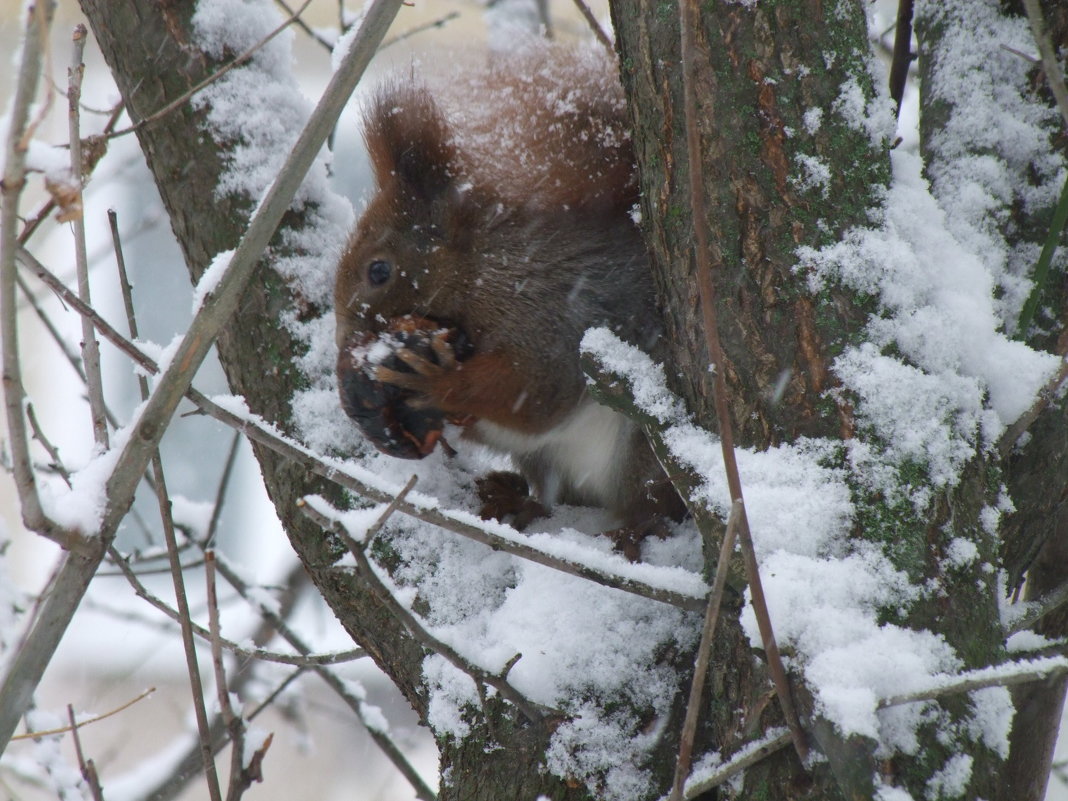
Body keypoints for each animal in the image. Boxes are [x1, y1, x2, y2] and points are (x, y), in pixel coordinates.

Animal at [331, 48, 683, 551]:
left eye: (378, 271)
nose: (344, 341)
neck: (479, 274)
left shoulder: (552, 315)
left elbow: (535, 390)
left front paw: (435, 381)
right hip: (548, 463)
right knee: (547, 490)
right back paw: (518, 501)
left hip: (644, 451)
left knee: (653, 501)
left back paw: (636, 528)